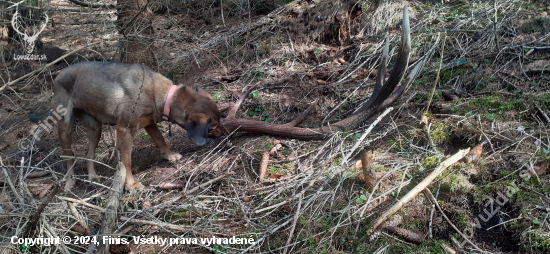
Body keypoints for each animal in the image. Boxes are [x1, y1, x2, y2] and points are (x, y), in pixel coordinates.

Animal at [48, 62, 223, 190]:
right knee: (69, 156)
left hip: (95, 129)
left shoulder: (149, 123)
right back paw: (70, 182)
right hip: (65, 128)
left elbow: (160, 139)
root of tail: (58, 76)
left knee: (88, 153)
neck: (165, 96)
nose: (221, 134)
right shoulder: (124, 131)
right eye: (211, 127)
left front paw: (169, 155)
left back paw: (93, 177)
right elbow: (127, 162)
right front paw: (131, 185)